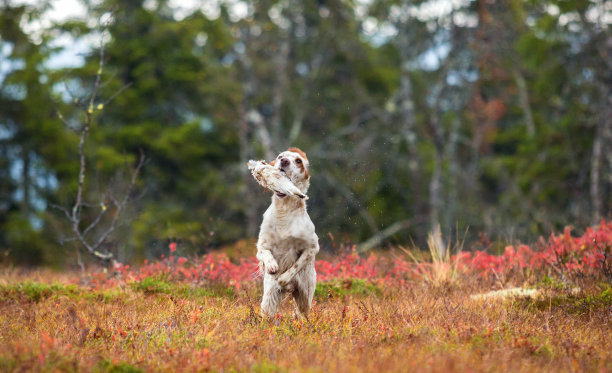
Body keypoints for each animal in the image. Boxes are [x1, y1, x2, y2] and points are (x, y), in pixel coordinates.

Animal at [253, 147, 320, 318]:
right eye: (280, 156)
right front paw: (272, 266)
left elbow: (296, 265)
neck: (284, 210)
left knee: (302, 314)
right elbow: (266, 253)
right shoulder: (262, 245)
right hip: (269, 300)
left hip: (305, 299)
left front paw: (283, 278)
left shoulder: (312, 247)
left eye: (298, 161)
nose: (284, 161)